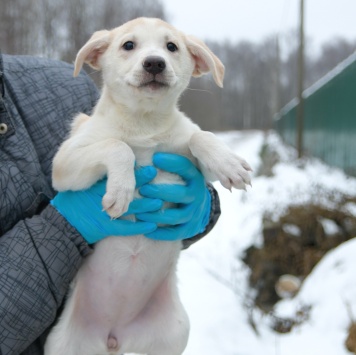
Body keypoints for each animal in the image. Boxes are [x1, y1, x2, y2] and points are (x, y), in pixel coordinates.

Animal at [45, 17, 250, 355]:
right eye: (128, 45)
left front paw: (229, 163)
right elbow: (117, 146)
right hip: (62, 345)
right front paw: (121, 190)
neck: (144, 122)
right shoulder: (65, 161)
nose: (155, 62)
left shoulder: (193, 164)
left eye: (172, 47)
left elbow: (200, 135)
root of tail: (114, 336)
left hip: (174, 332)